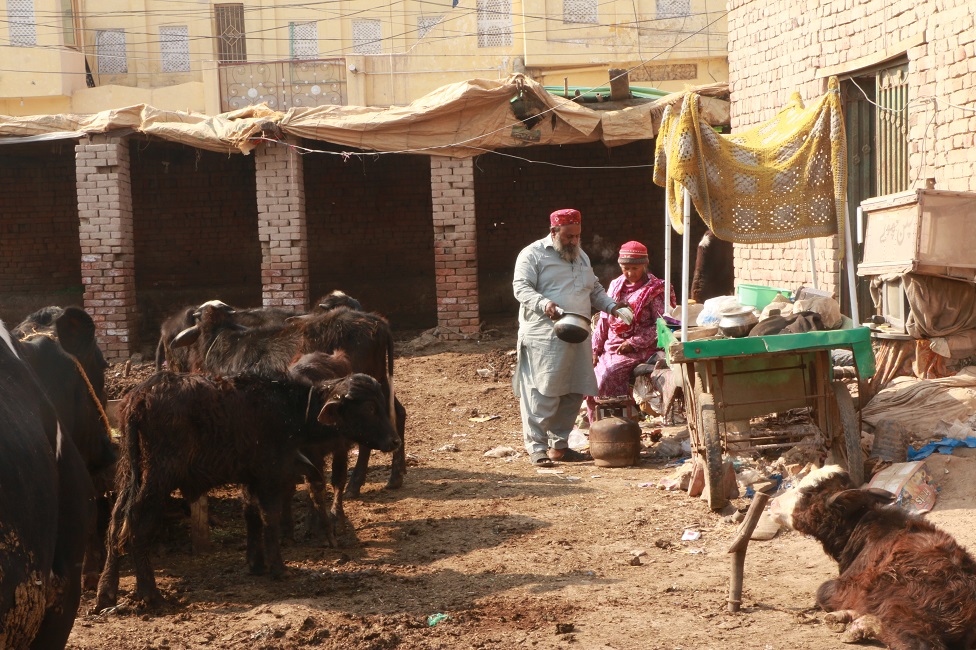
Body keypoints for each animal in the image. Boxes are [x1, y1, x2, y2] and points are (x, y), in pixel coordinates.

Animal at [772, 464, 976, 644]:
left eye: (807, 495)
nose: (773, 503)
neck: (862, 529)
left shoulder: (848, 586)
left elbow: (822, 590)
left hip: (899, 604)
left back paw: (863, 625)